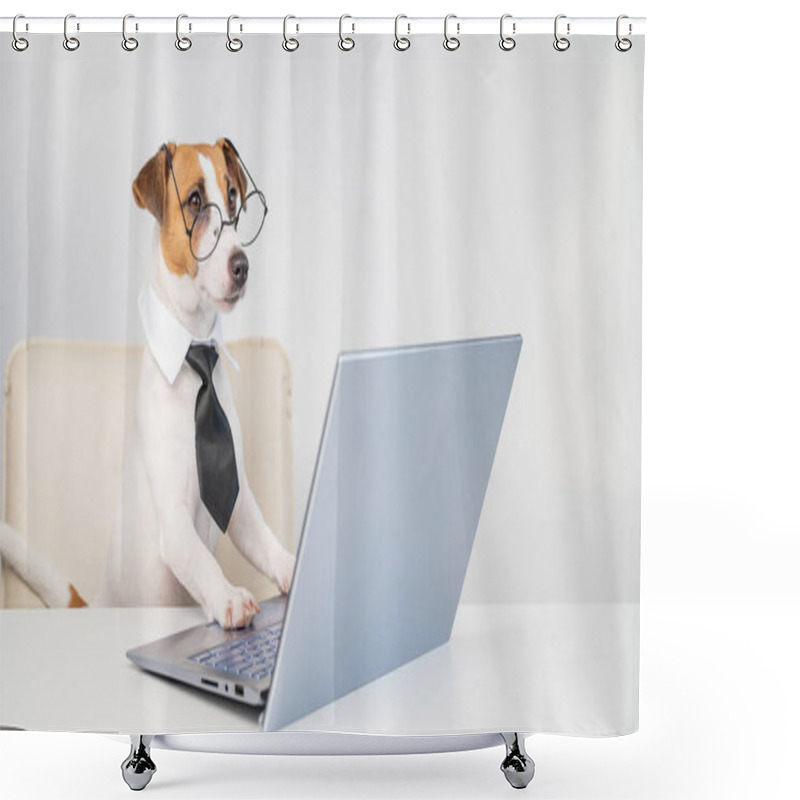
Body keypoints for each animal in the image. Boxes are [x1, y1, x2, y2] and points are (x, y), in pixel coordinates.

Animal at [1, 139, 296, 632]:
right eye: (195, 201)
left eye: (233, 198)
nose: (243, 265)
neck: (195, 348)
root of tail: (98, 603)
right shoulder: (174, 525)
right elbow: (203, 563)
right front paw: (228, 596)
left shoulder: (240, 505)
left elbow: (267, 543)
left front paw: (296, 565)